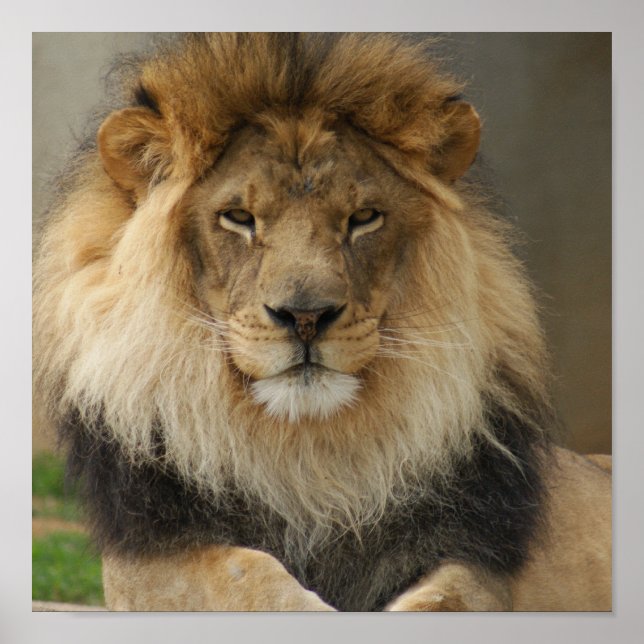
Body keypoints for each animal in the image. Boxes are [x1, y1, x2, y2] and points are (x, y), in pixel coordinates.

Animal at [33, 33, 611, 611]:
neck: (310, 456)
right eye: (238, 218)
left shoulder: (473, 557)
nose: (306, 316)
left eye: (363, 219)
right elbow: (251, 578)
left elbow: (442, 601)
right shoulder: (150, 557)